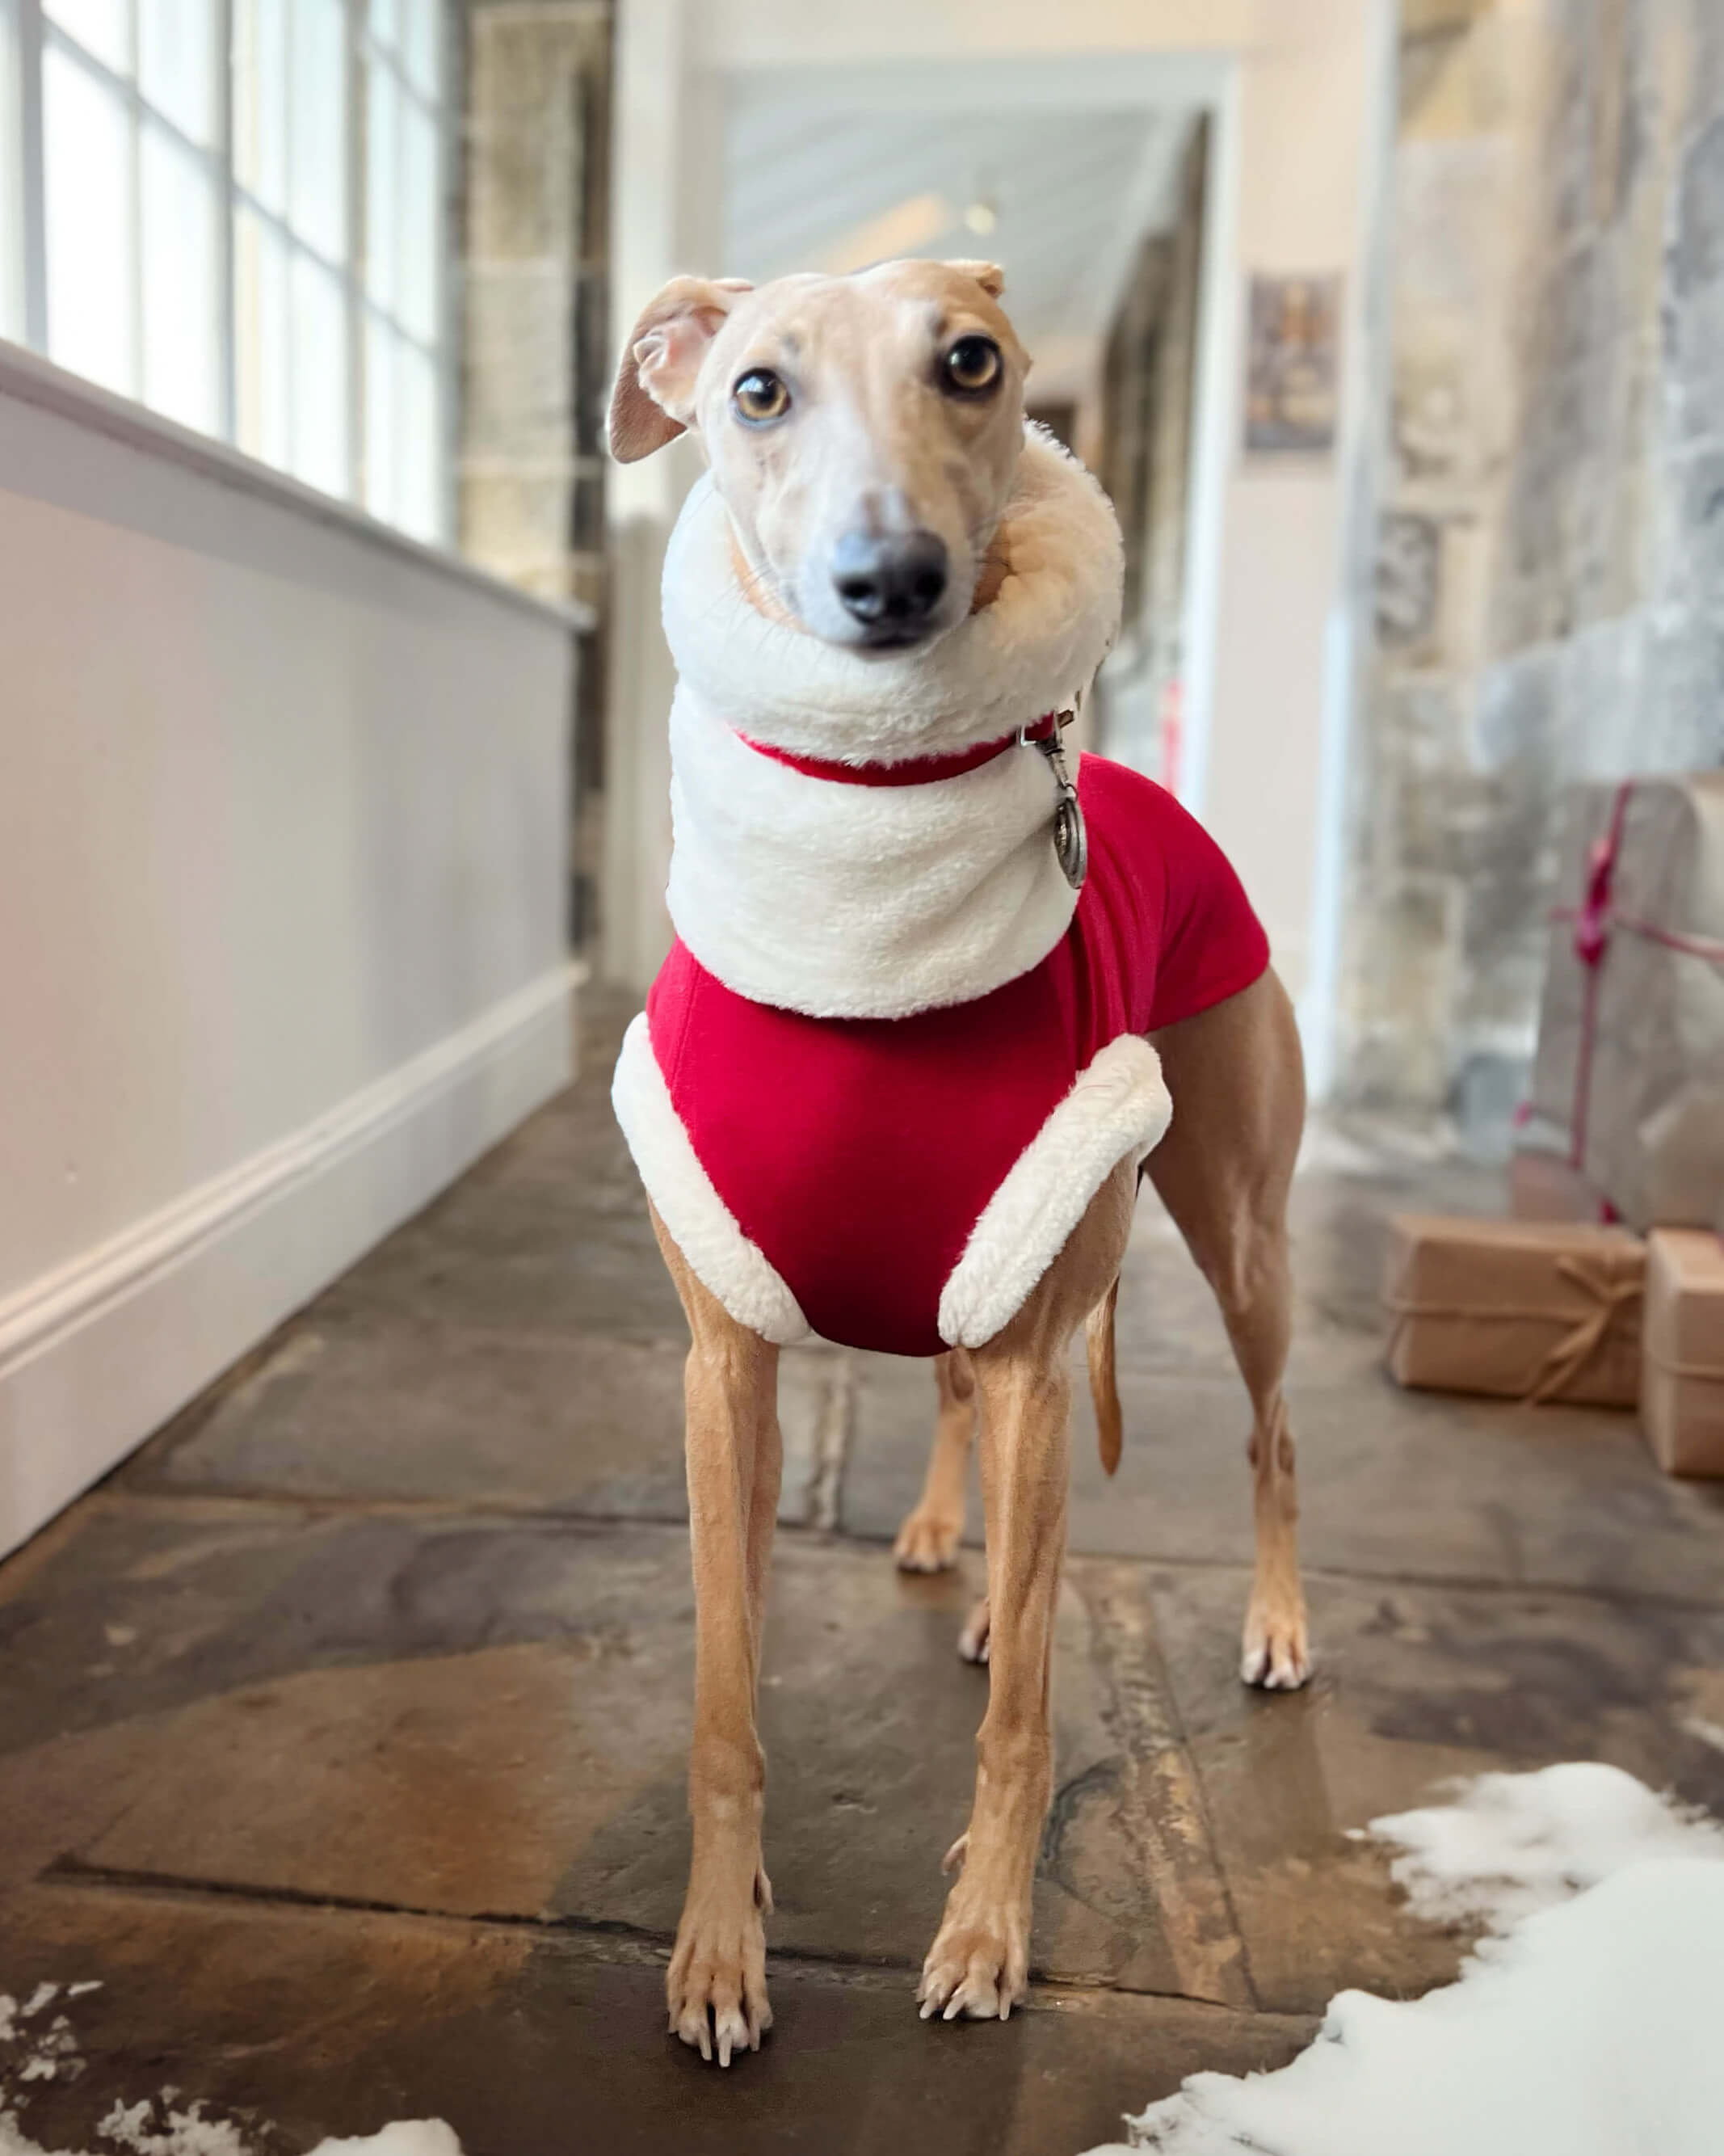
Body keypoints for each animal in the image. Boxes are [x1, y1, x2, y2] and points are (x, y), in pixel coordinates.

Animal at [608, 260, 1310, 2061]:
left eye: (973, 364)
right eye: (756, 389)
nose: (891, 581)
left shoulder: (1038, 1350)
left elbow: (1023, 1727)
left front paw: (985, 1935)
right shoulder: (721, 1362)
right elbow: (721, 1693)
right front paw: (718, 1947)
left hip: (1223, 1231)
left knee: (1265, 1432)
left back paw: (1271, 1619)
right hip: (989, 1274)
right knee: (955, 1409)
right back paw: (964, 1553)